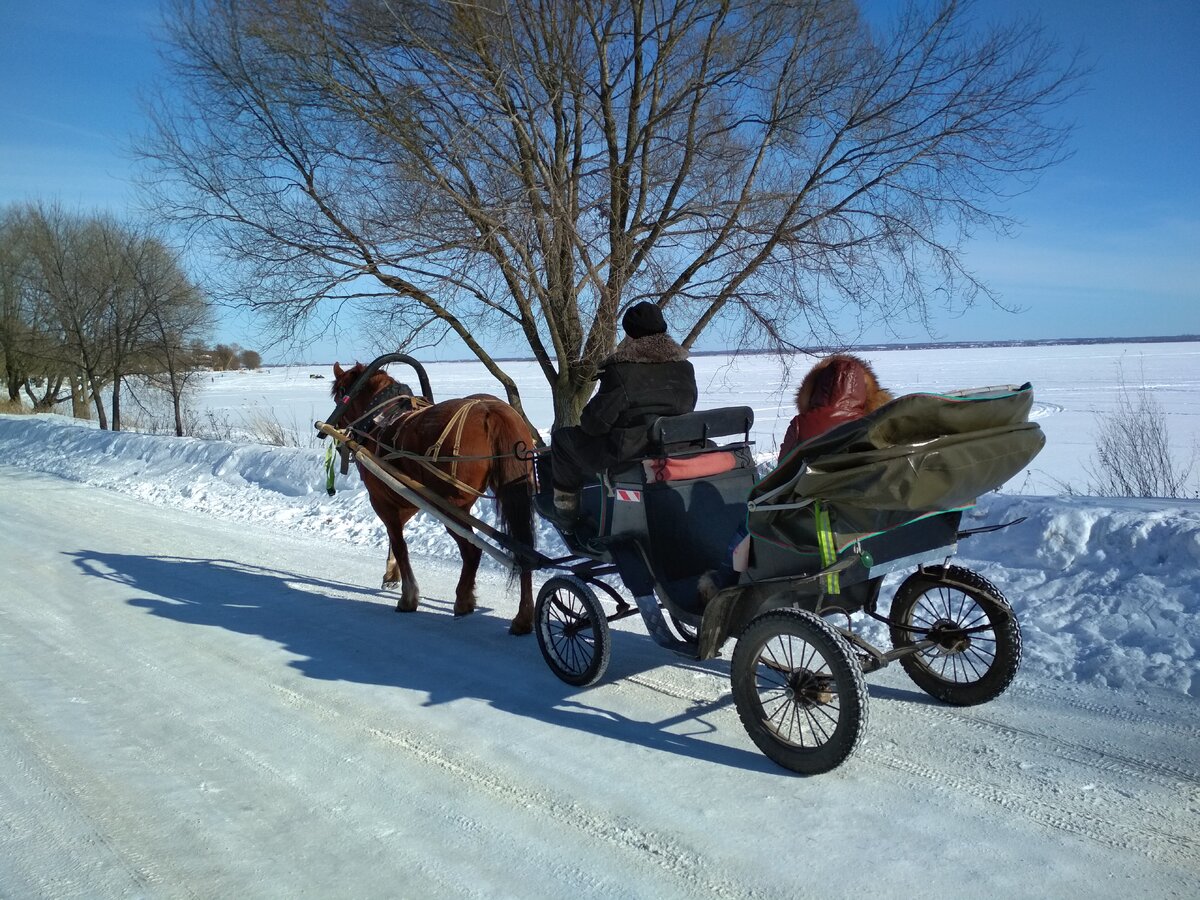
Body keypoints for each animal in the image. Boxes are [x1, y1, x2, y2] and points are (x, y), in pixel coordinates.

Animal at [328, 362, 535, 638]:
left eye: (339, 394)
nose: (338, 433)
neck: (381, 419)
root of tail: (491, 411)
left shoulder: (383, 500)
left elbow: (399, 544)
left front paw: (408, 597)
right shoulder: (409, 497)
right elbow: (394, 540)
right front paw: (391, 574)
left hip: (450, 507)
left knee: (472, 551)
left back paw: (463, 600)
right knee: (524, 552)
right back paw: (523, 617)